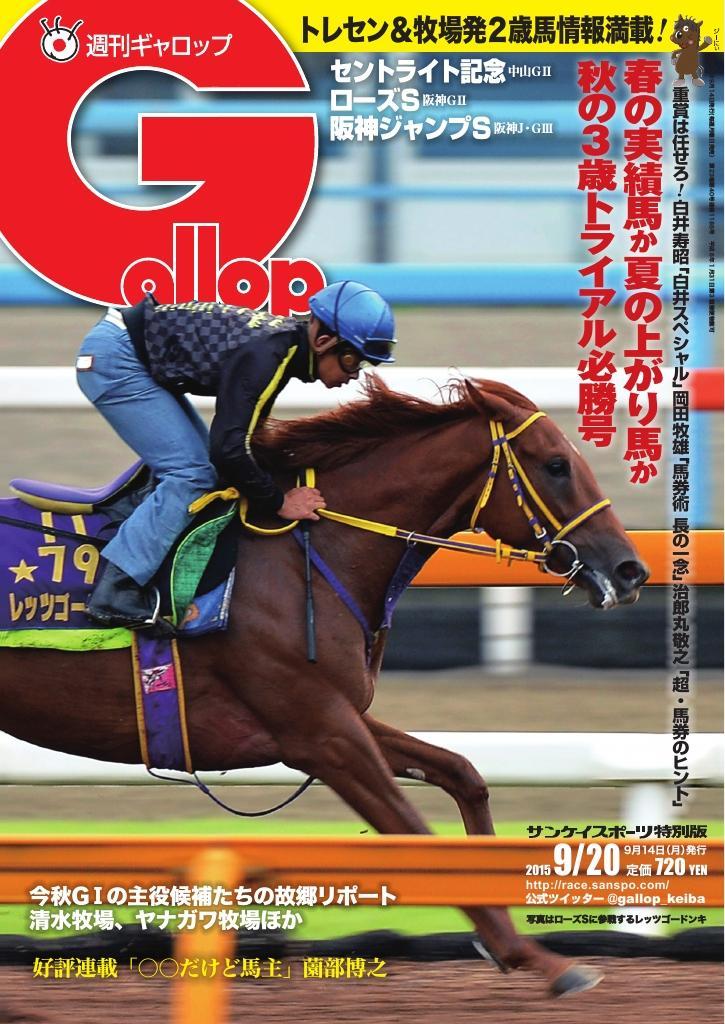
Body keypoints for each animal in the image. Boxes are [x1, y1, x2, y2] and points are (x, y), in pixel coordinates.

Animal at [0, 376, 648, 996]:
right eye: (556, 464)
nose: (630, 570)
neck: (305, 552)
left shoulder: (338, 715)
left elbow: (461, 771)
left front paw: (502, 936)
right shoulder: (321, 736)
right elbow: (414, 830)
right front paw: (541, 959)